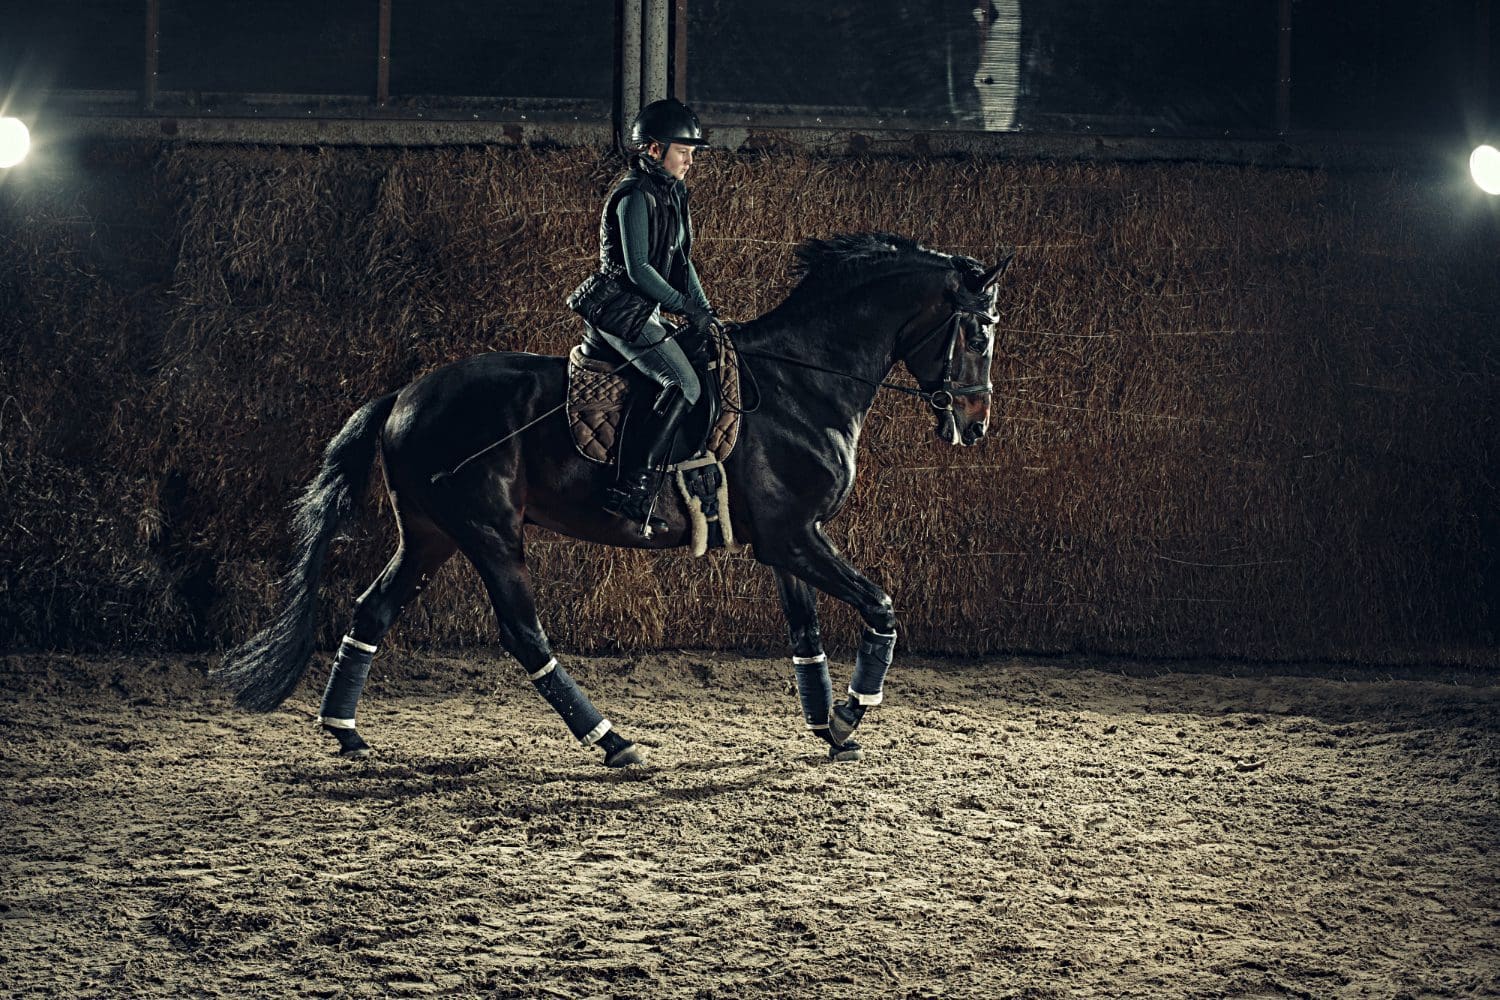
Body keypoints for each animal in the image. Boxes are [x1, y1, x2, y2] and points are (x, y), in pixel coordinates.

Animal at [214, 232, 1008, 767]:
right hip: (489, 532)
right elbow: (880, 607)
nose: (974, 424)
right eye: (977, 328)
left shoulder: (787, 539)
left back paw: (345, 731)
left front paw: (829, 726)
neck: (801, 383)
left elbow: (805, 633)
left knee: (372, 610)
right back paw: (613, 741)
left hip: (432, 533)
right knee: (523, 634)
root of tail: (406, 394)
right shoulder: (795, 536)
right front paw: (853, 712)